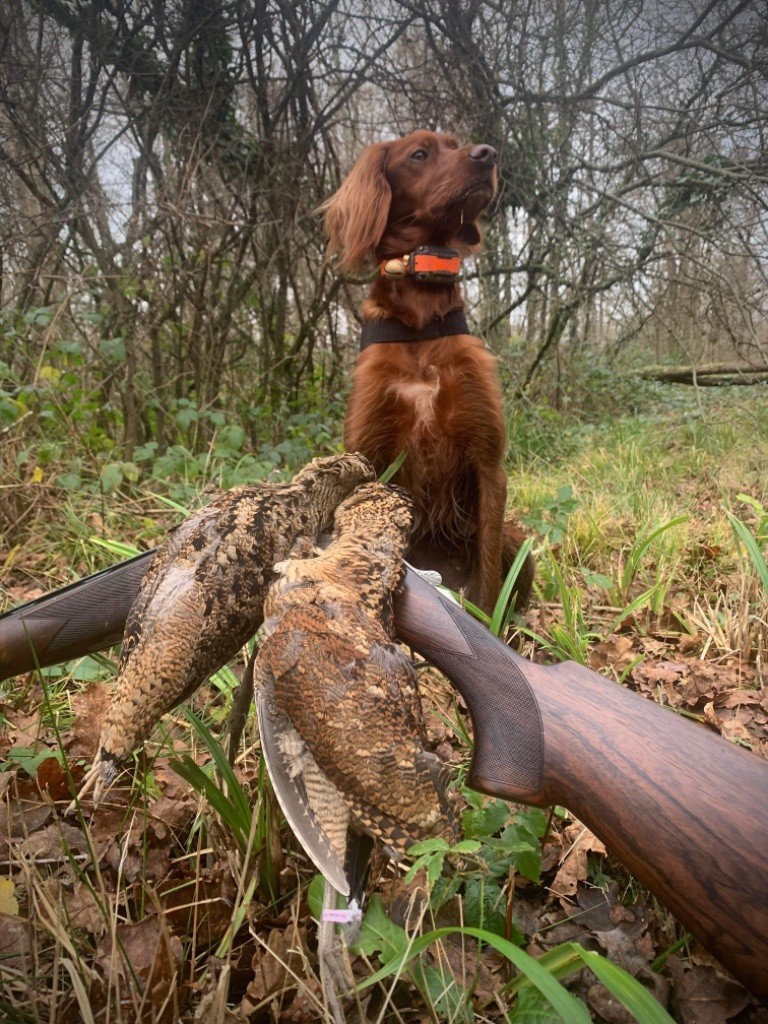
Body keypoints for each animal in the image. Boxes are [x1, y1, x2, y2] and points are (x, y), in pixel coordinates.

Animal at [325, 125, 536, 606]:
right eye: (419, 154)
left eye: (457, 145)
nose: (488, 154)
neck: (419, 329)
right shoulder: (369, 451)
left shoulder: (488, 464)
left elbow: (488, 584)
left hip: (519, 544)